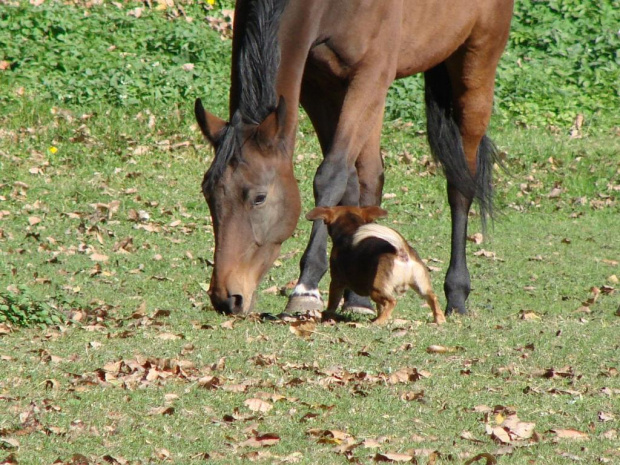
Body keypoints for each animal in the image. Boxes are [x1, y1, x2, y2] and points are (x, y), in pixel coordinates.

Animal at [306, 205, 446, 324]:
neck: (350, 227)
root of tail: (401, 252)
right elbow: (380, 307)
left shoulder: (336, 282)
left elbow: (332, 304)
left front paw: (326, 317)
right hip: (421, 285)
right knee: (432, 298)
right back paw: (439, 319)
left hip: (375, 289)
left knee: (391, 301)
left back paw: (379, 322)